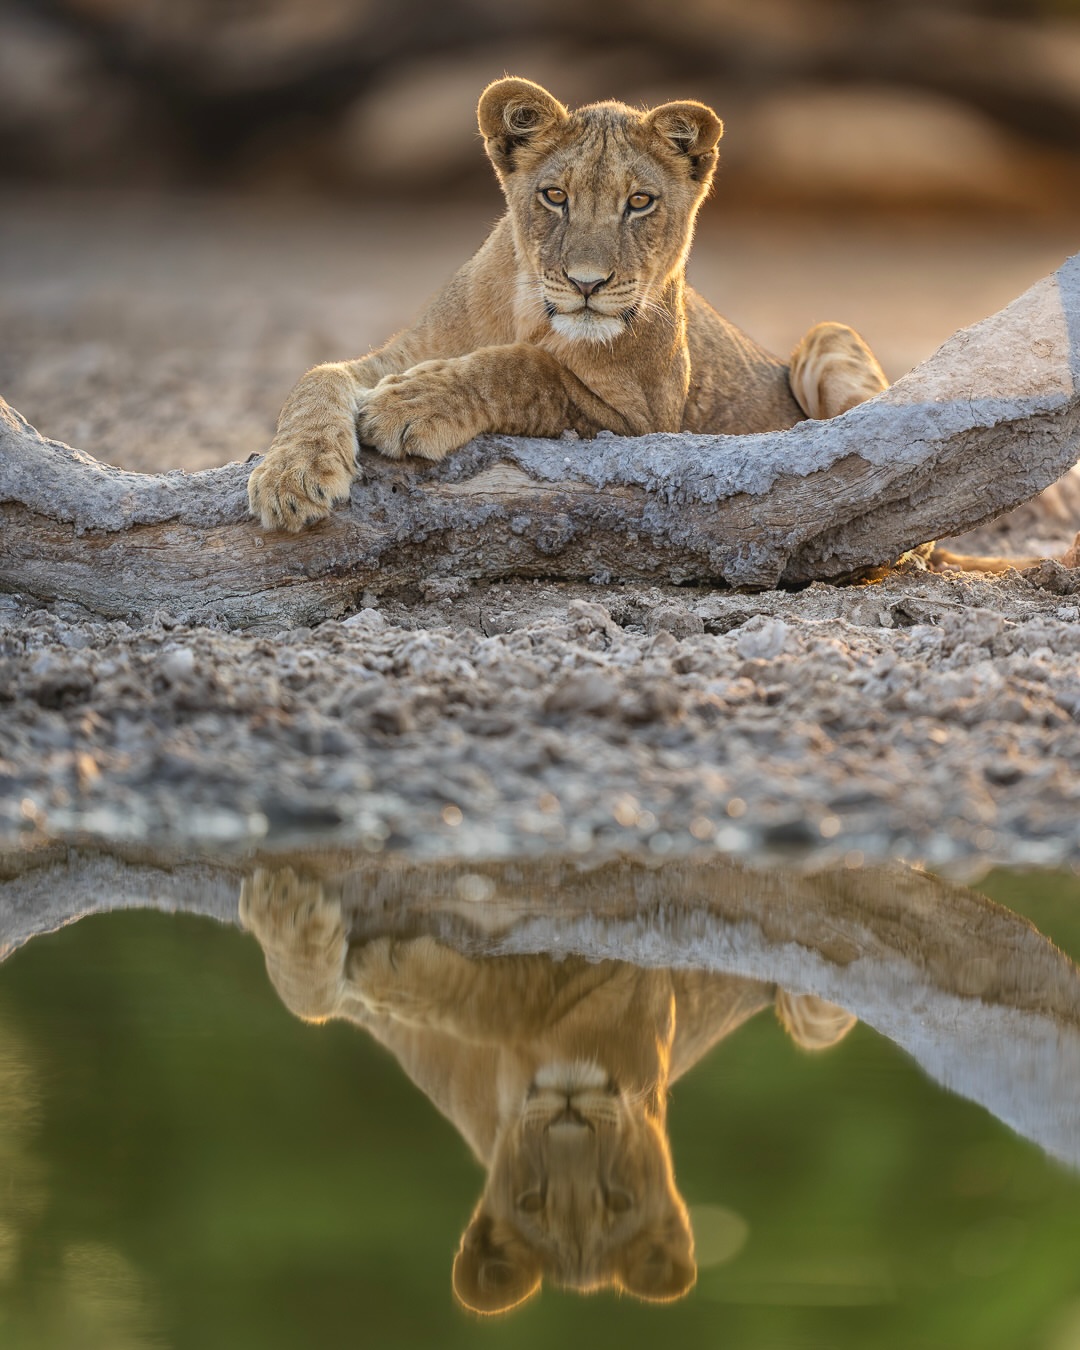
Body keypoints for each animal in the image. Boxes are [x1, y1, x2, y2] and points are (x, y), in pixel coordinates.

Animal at [238, 868, 856, 1314]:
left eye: (618, 1199)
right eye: (530, 1200)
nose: (569, 1119)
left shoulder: (620, 968)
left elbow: (505, 1001)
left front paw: (379, 963)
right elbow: (306, 998)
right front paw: (285, 905)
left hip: (814, 1017)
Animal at [248, 76, 888, 533]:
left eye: (639, 202)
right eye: (555, 196)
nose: (587, 284)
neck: (530, 314)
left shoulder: (643, 421)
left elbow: (532, 369)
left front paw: (413, 404)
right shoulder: (398, 354)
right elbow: (317, 378)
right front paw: (292, 476)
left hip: (827, 334)